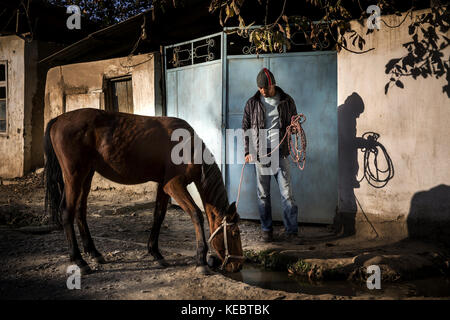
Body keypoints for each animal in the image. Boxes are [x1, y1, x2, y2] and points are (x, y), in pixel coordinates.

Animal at [44, 109, 244, 274]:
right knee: (66, 212)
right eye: (235, 233)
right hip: (74, 176)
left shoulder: (164, 186)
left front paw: (155, 253)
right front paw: (201, 261)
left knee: (80, 211)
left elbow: (158, 216)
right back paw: (79, 260)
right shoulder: (174, 185)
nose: (238, 265)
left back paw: (94, 253)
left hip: (87, 175)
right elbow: (196, 214)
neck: (187, 146)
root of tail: (58, 119)